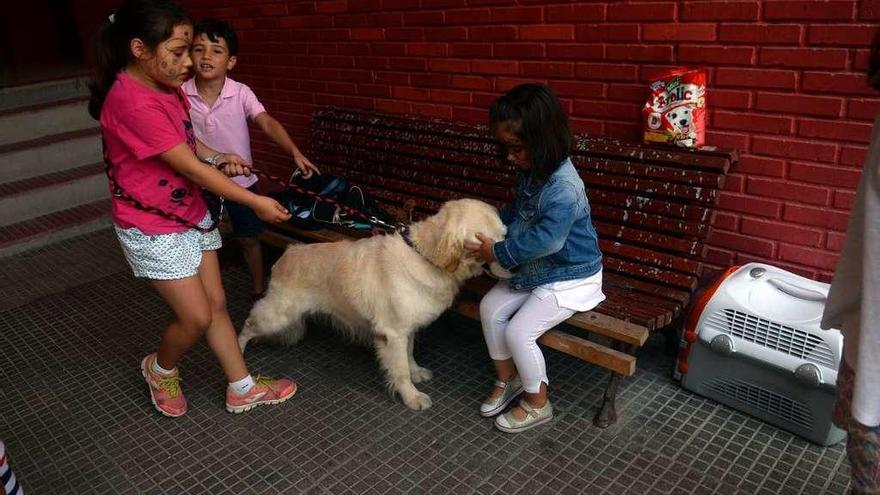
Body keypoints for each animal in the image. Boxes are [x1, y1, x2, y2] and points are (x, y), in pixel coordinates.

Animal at [239, 198, 508, 410]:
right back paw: (240, 351)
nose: (516, 265)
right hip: (277, 314)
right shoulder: (393, 333)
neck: (426, 257)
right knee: (248, 323)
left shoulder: (406, 328)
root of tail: (289, 251)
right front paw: (411, 397)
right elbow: (400, 369)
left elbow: (409, 354)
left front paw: (416, 372)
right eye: (488, 242)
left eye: (505, 235)